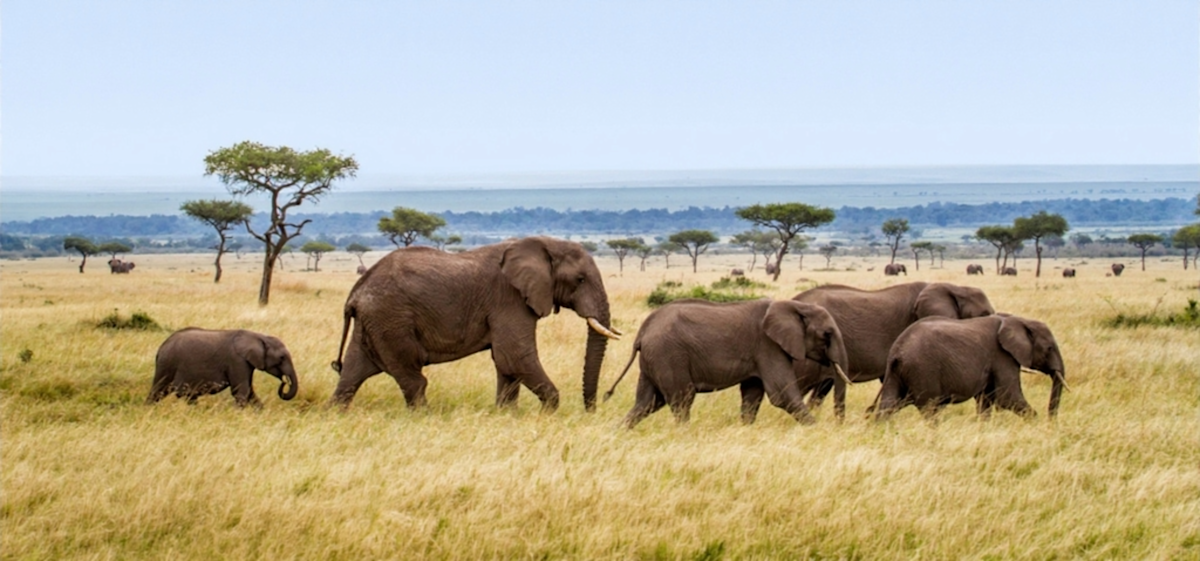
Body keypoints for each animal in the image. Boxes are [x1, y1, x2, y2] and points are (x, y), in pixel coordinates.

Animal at [147, 328, 298, 407]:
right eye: (282, 358)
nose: (284, 382)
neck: (259, 336)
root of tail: (161, 347)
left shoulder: (245, 363)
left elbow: (249, 391)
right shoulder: (237, 361)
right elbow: (240, 391)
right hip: (167, 364)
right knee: (158, 390)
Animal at [329, 236, 619, 412]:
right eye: (580, 280)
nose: (592, 409)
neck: (544, 242)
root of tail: (355, 293)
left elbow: (506, 364)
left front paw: (506, 415)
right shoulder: (508, 299)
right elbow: (515, 356)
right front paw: (548, 413)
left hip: (374, 324)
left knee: (351, 376)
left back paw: (335, 414)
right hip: (391, 321)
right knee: (413, 380)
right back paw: (424, 418)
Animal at [604, 299, 850, 428]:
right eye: (827, 335)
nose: (838, 426)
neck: (795, 305)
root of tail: (642, 332)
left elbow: (752, 394)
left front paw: (746, 429)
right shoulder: (768, 346)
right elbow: (782, 395)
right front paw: (818, 431)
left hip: (654, 359)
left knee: (647, 402)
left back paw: (619, 432)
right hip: (668, 355)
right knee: (681, 398)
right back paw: (685, 433)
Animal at [874, 315, 1066, 421]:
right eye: (1049, 348)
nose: (1051, 424)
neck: (1019, 320)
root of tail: (896, 351)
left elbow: (985, 400)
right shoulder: (1002, 356)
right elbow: (1007, 397)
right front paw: (1036, 423)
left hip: (898, 373)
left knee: (889, 404)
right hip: (923, 370)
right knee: (930, 408)